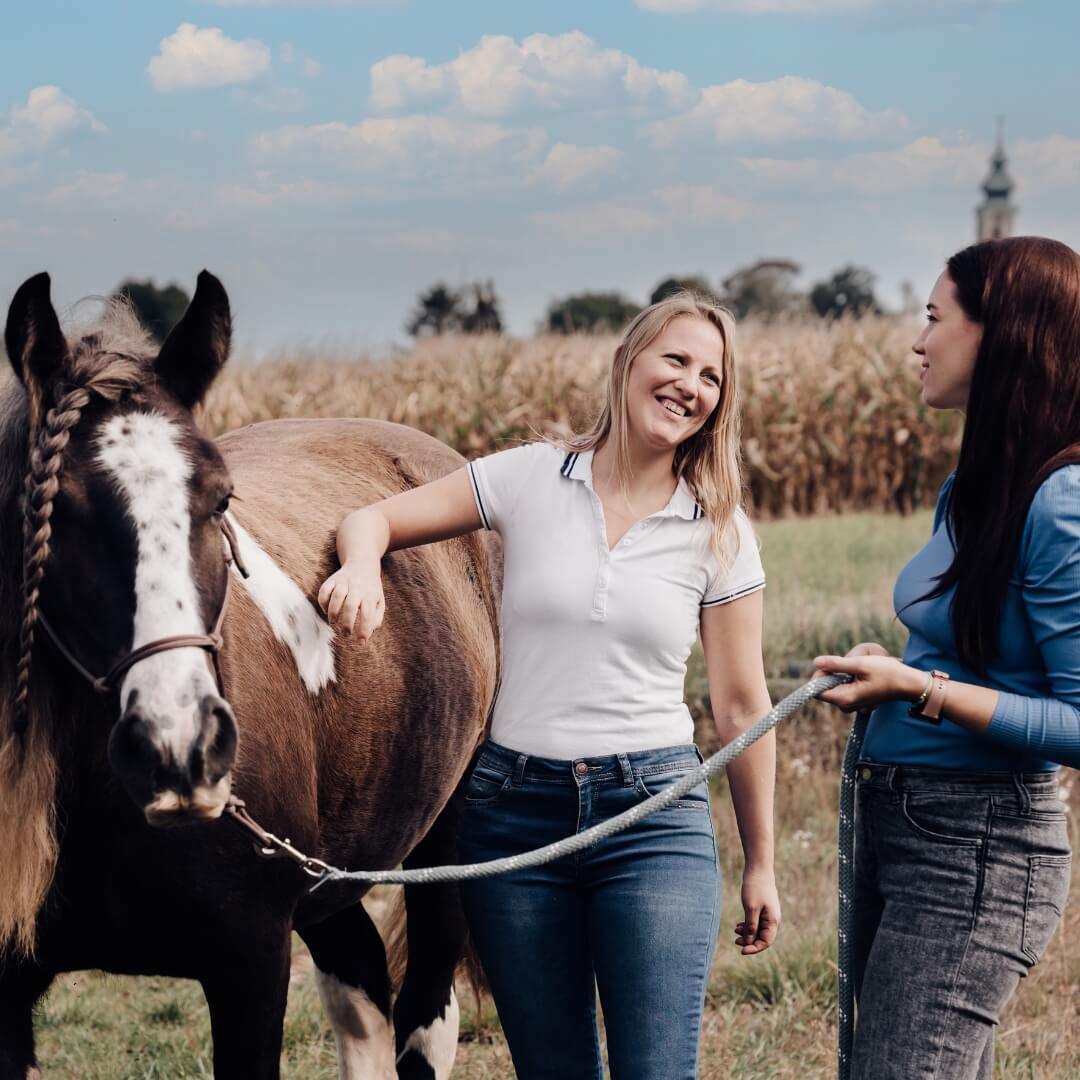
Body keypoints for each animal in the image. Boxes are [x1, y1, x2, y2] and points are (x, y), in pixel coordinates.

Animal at [0, 272, 496, 1080]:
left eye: (221, 500)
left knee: (424, 1010)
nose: (179, 746)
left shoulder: (251, 967)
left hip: (447, 849)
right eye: (55, 513)